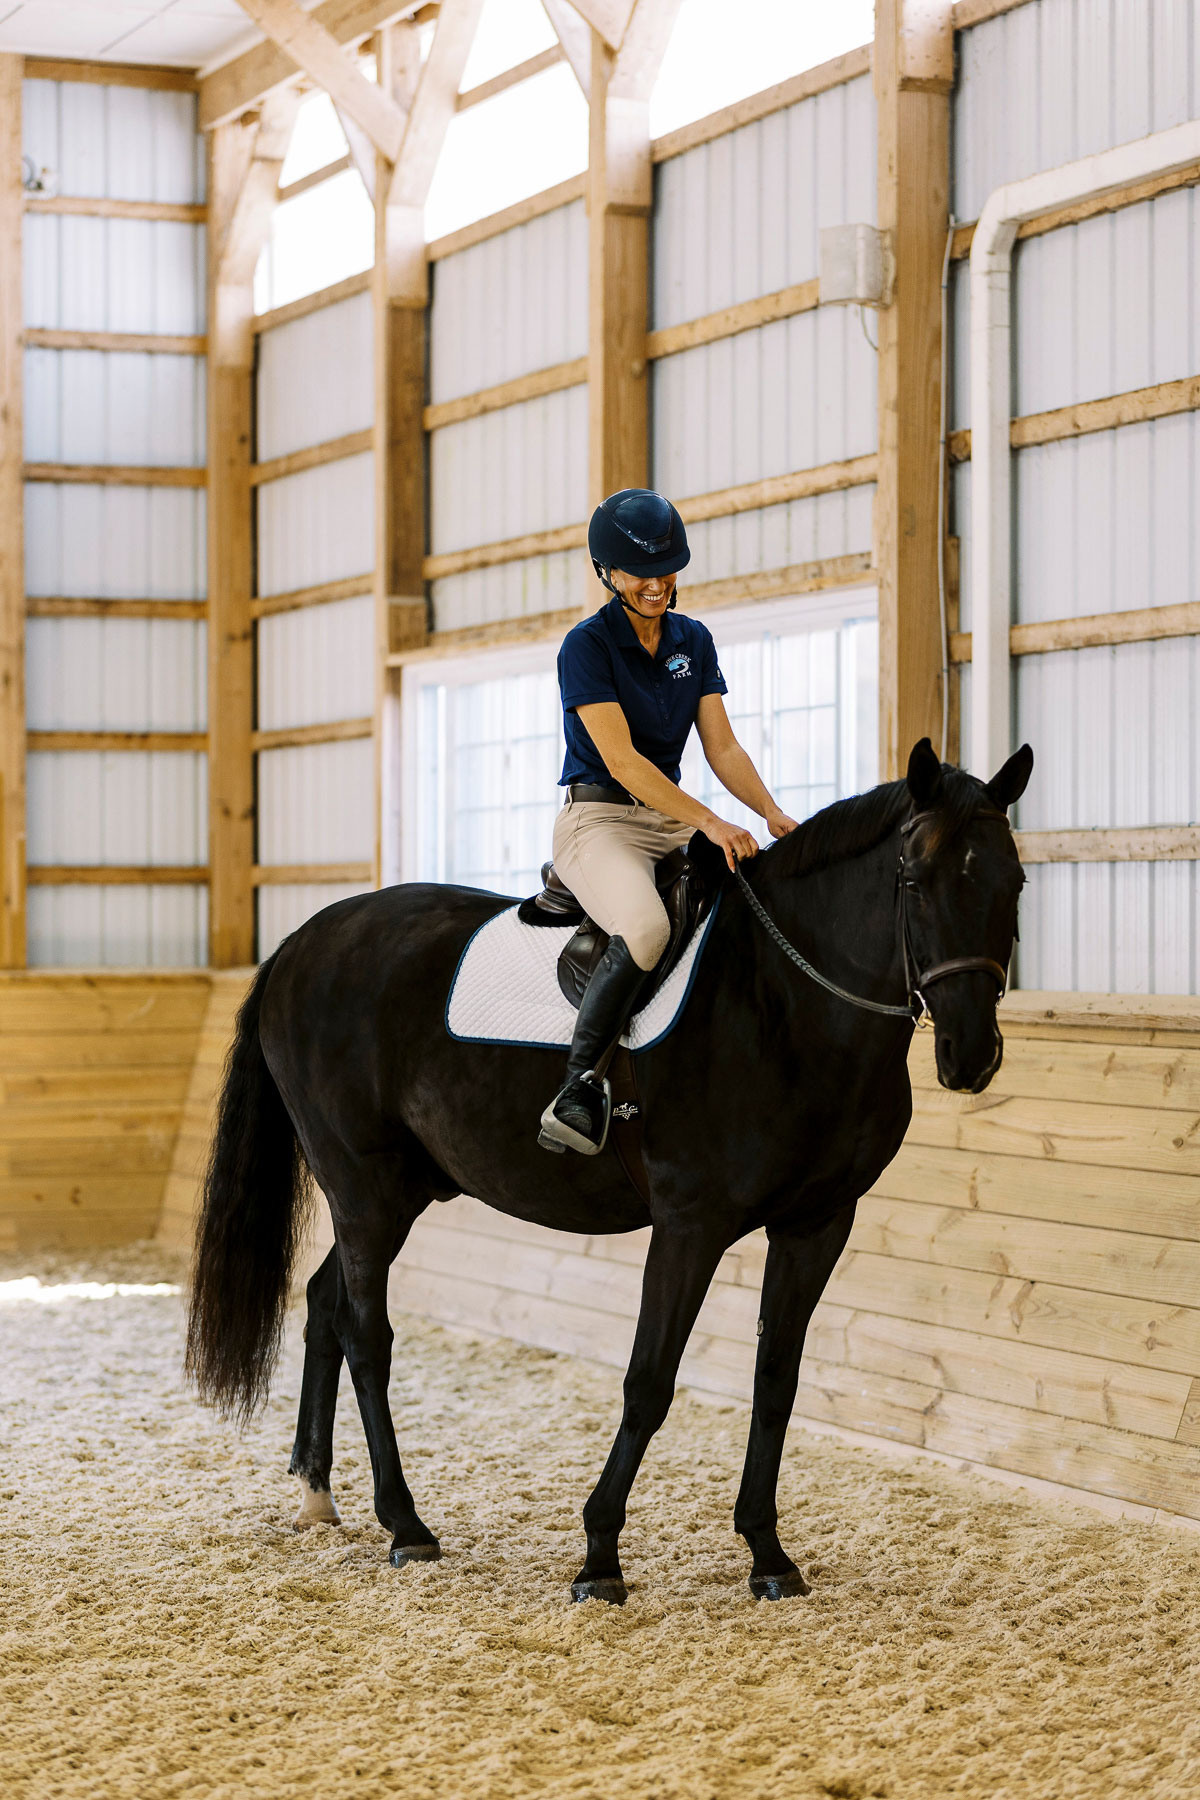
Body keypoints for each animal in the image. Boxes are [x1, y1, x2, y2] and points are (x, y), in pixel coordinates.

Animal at [186, 736, 1033, 1603]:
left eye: (1015, 883)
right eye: (914, 880)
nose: (971, 1054)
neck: (783, 1005)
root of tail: (301, 942)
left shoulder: (816, 1224)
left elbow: (776, 1382)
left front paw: (768, 1555)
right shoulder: (690, 1225)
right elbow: (648, 1382)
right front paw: (599, 1558)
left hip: (398, 1192)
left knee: (326, 1302)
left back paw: (317, 1494)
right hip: (364, 1187)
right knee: (366, 1331)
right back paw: (405, 1524)